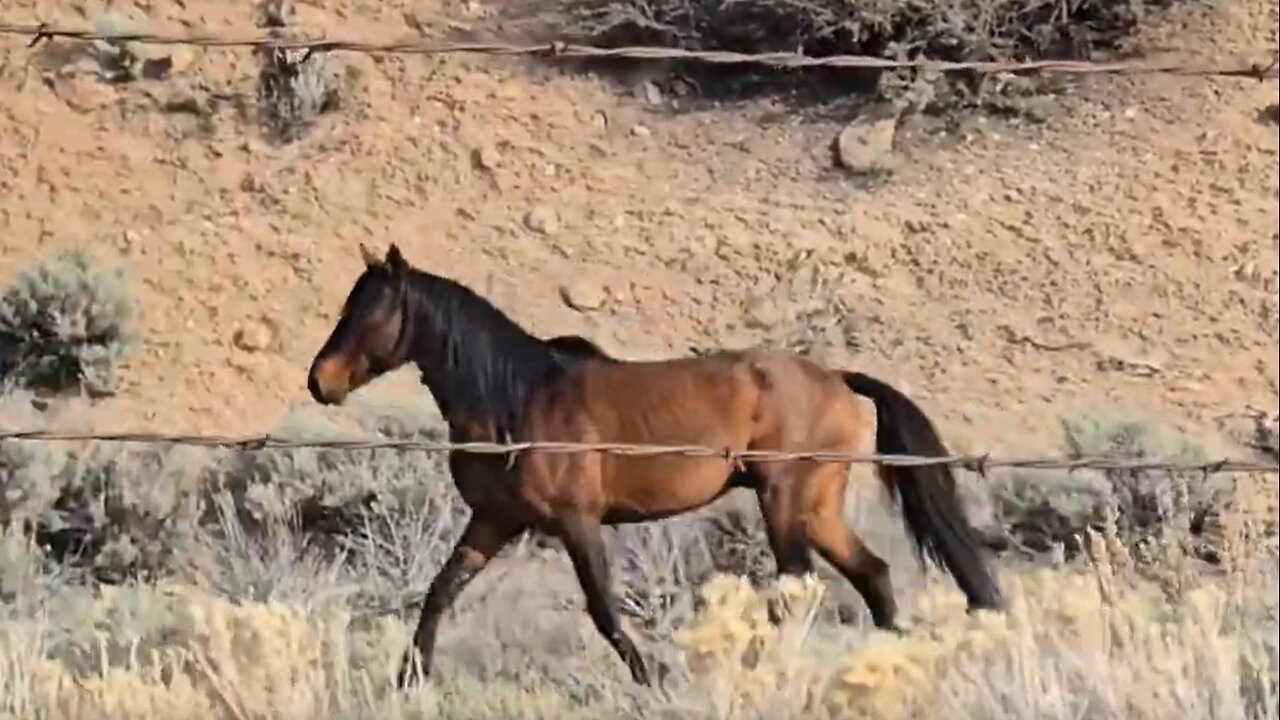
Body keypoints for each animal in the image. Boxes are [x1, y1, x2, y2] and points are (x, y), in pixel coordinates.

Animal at [306, 243, 1005, 688]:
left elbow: (603, 610)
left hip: (784, 503)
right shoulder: (494, 521)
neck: (517, 399)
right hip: (817, 507)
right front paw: (409, 679)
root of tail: (835, 379)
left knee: (799, 589)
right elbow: (441, 590)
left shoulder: (578, 523)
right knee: (873, 575)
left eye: (371, 312)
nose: (321, 382)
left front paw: (657, 679)